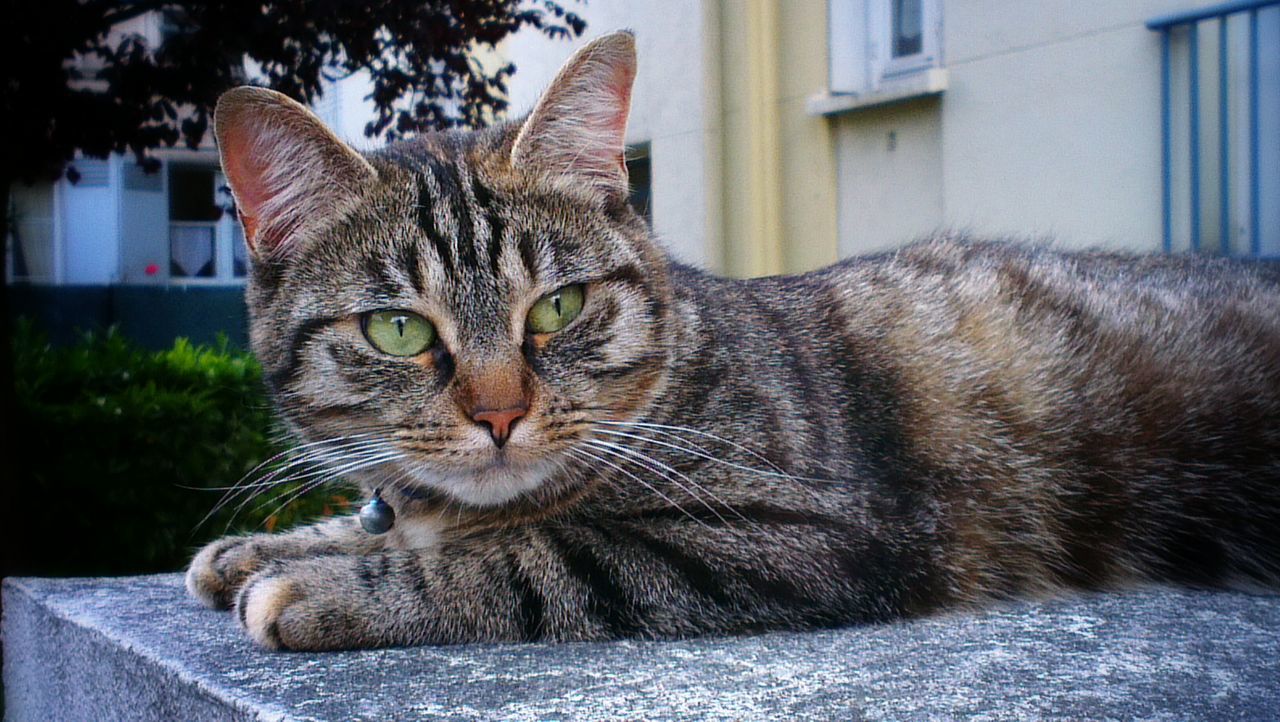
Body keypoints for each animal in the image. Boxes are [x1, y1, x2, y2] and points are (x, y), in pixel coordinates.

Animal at [186, 31, 1280, 647]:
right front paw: (272, 542)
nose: (500, 414)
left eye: (557, 309)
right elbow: (393, 518)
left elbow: (527, 555)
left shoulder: (807, 528)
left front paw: (327, 580)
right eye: (399, 327)